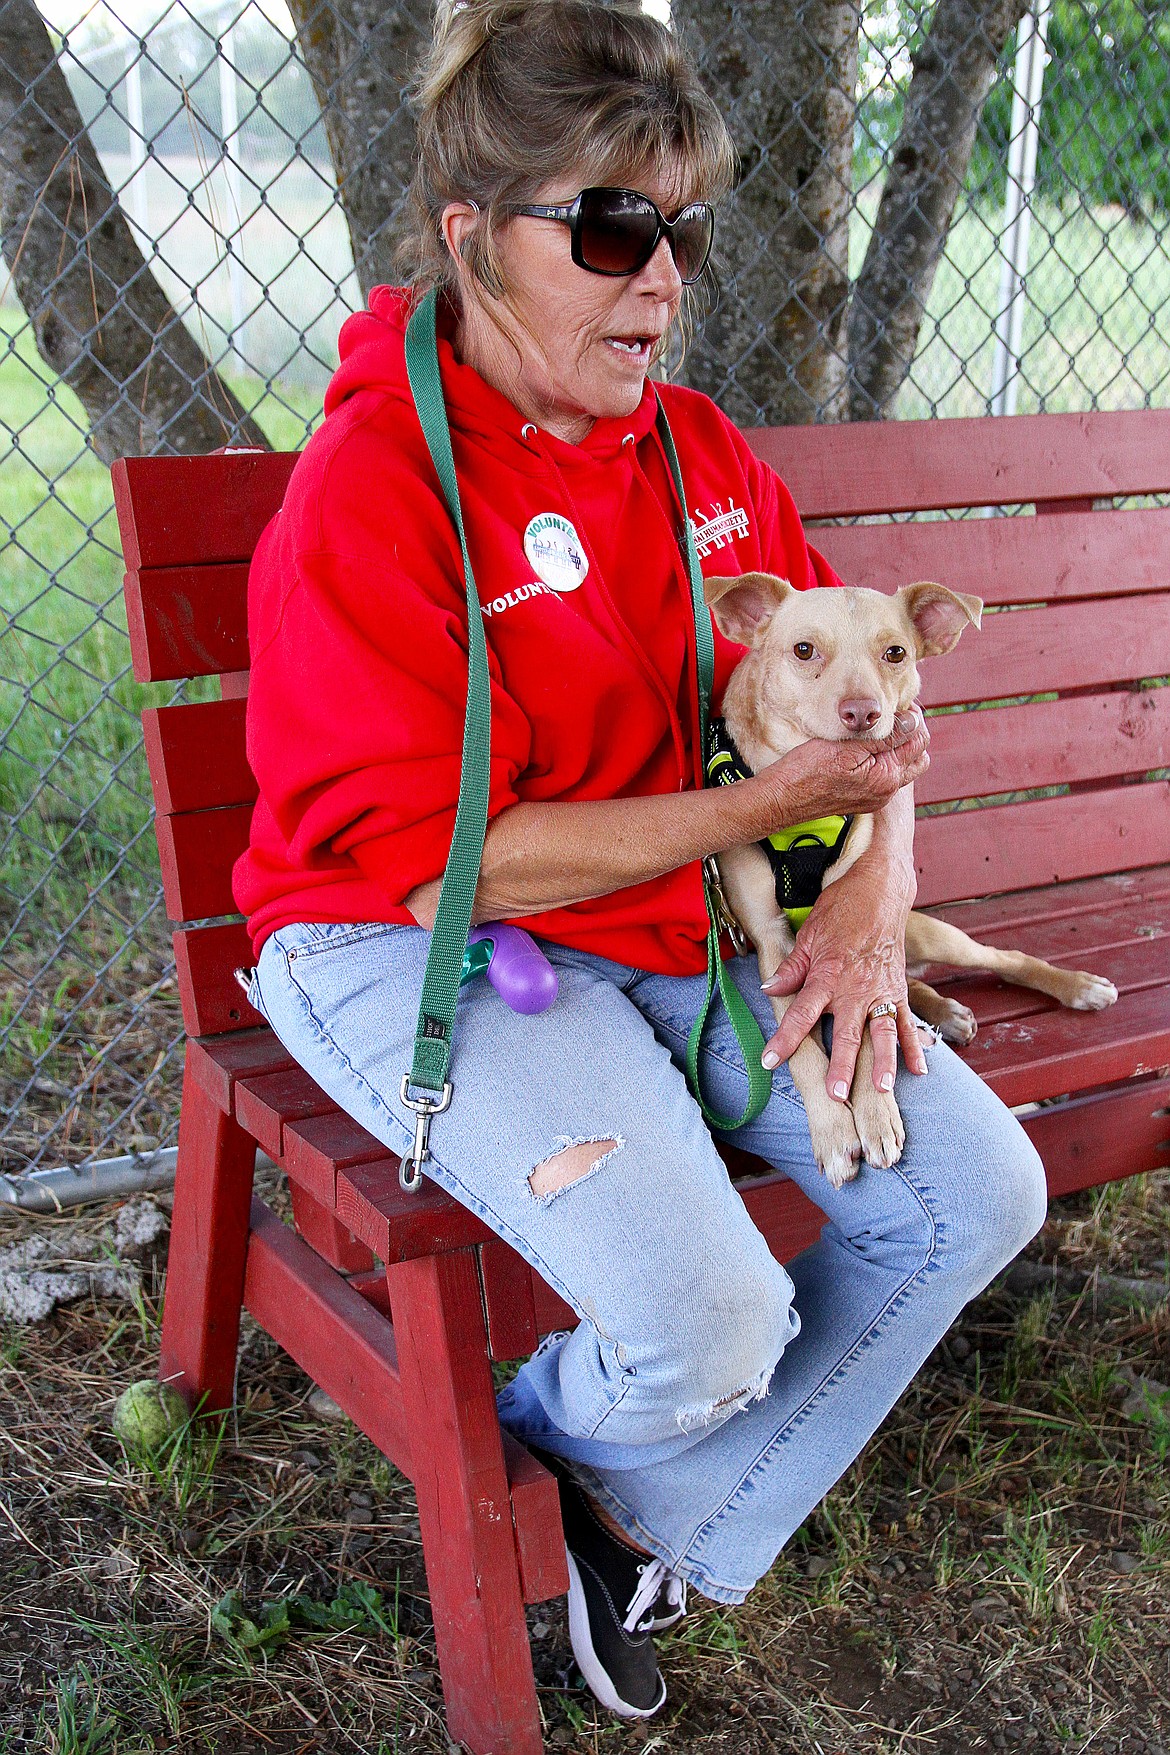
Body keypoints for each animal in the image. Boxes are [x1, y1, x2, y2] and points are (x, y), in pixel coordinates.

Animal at [701, 575, 1122, 1193]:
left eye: (895, 653)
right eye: (804, 650)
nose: (862, 713)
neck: (808, 823)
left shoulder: (858, 930)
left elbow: (860, 1028)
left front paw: (873, 1112)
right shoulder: (775, 949)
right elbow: (803, 1051)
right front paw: (834, 1131)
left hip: (929, 933)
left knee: (1001, 958)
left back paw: (1073, 987)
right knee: (907, 984)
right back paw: (941, 1013)